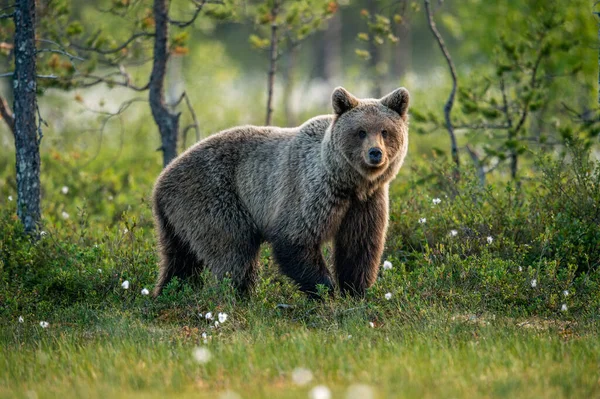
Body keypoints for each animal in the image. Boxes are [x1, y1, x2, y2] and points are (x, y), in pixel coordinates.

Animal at [152, 86, 410, 298]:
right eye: (361, 131)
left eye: (385, 131)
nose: (375, 153)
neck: (349, 182)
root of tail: (160, 181)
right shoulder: (311, 192)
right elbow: (295, 240)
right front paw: (326, 291)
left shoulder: (365, 203)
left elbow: (359, 248)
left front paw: (356, 291)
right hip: (214, 197)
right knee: (233, 254)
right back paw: (237, 296)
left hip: (177, 220)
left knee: (180, 260)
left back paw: (168, 293)